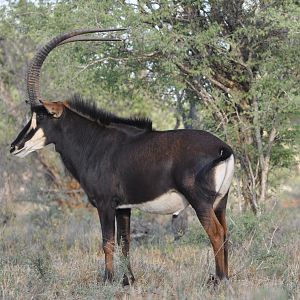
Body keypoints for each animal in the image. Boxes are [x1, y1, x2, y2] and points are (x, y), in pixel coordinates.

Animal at [10, 28, 234, 286]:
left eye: (40, 117)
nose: (14, 146)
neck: (94, 142)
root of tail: (223, 148)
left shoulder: (105, 203)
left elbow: (107, 242)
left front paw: (107, 280)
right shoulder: (123, 207)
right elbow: (125, 242)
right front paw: (129, 280)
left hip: (201, 202)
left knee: (216, 233)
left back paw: (218, 281)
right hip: (220, 203)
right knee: (226, 233)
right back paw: (227, 278)